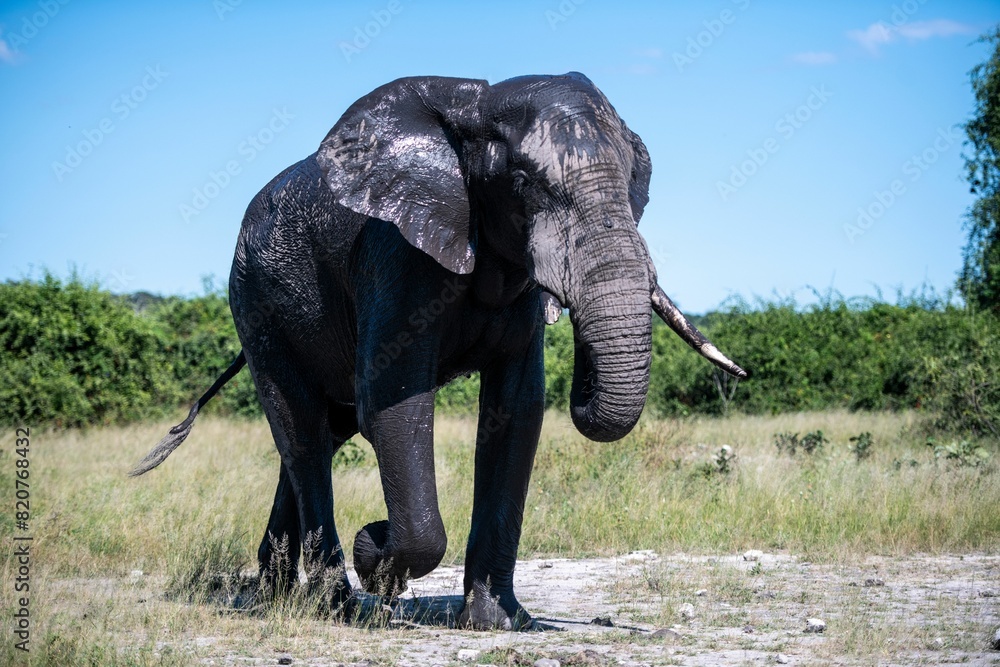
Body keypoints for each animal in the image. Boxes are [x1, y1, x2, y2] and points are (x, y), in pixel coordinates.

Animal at [131, 72, 747, 630]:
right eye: (522, 181)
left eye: (635, 180)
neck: (477, 107)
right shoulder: (394, 254)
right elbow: (395, 404)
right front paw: (378, 559)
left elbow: (516, 414)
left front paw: (499, 622)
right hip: (256, 301)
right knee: (302, 433)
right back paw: (336, 604)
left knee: (319, 436)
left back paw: (277, 592)